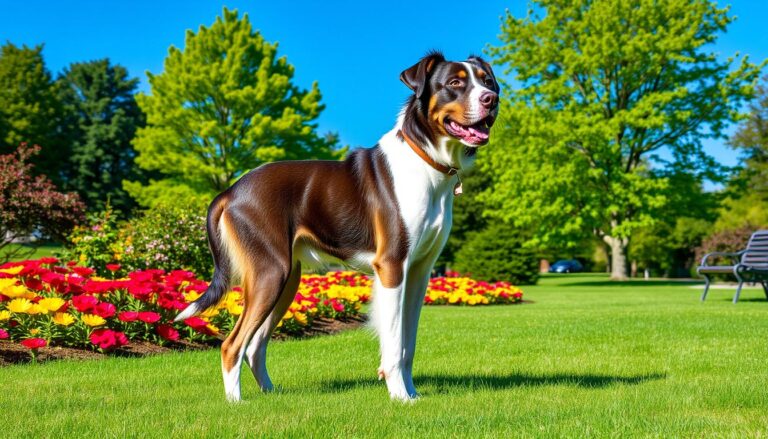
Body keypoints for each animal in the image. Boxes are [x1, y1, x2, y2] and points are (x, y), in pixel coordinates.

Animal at [178, 52, 504, 402]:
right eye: (455, 83)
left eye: (487, 81)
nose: (492, 99)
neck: (425, 162)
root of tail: (231, 190)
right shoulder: (392, 266)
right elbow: (394, 344)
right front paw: (400, 397)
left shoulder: (419, 271)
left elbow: (408, 344)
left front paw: (412, 393)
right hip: (270, 273)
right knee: (232, 345)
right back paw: (236, 402)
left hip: (286, 280)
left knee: (255, 346)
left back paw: (271, 393)